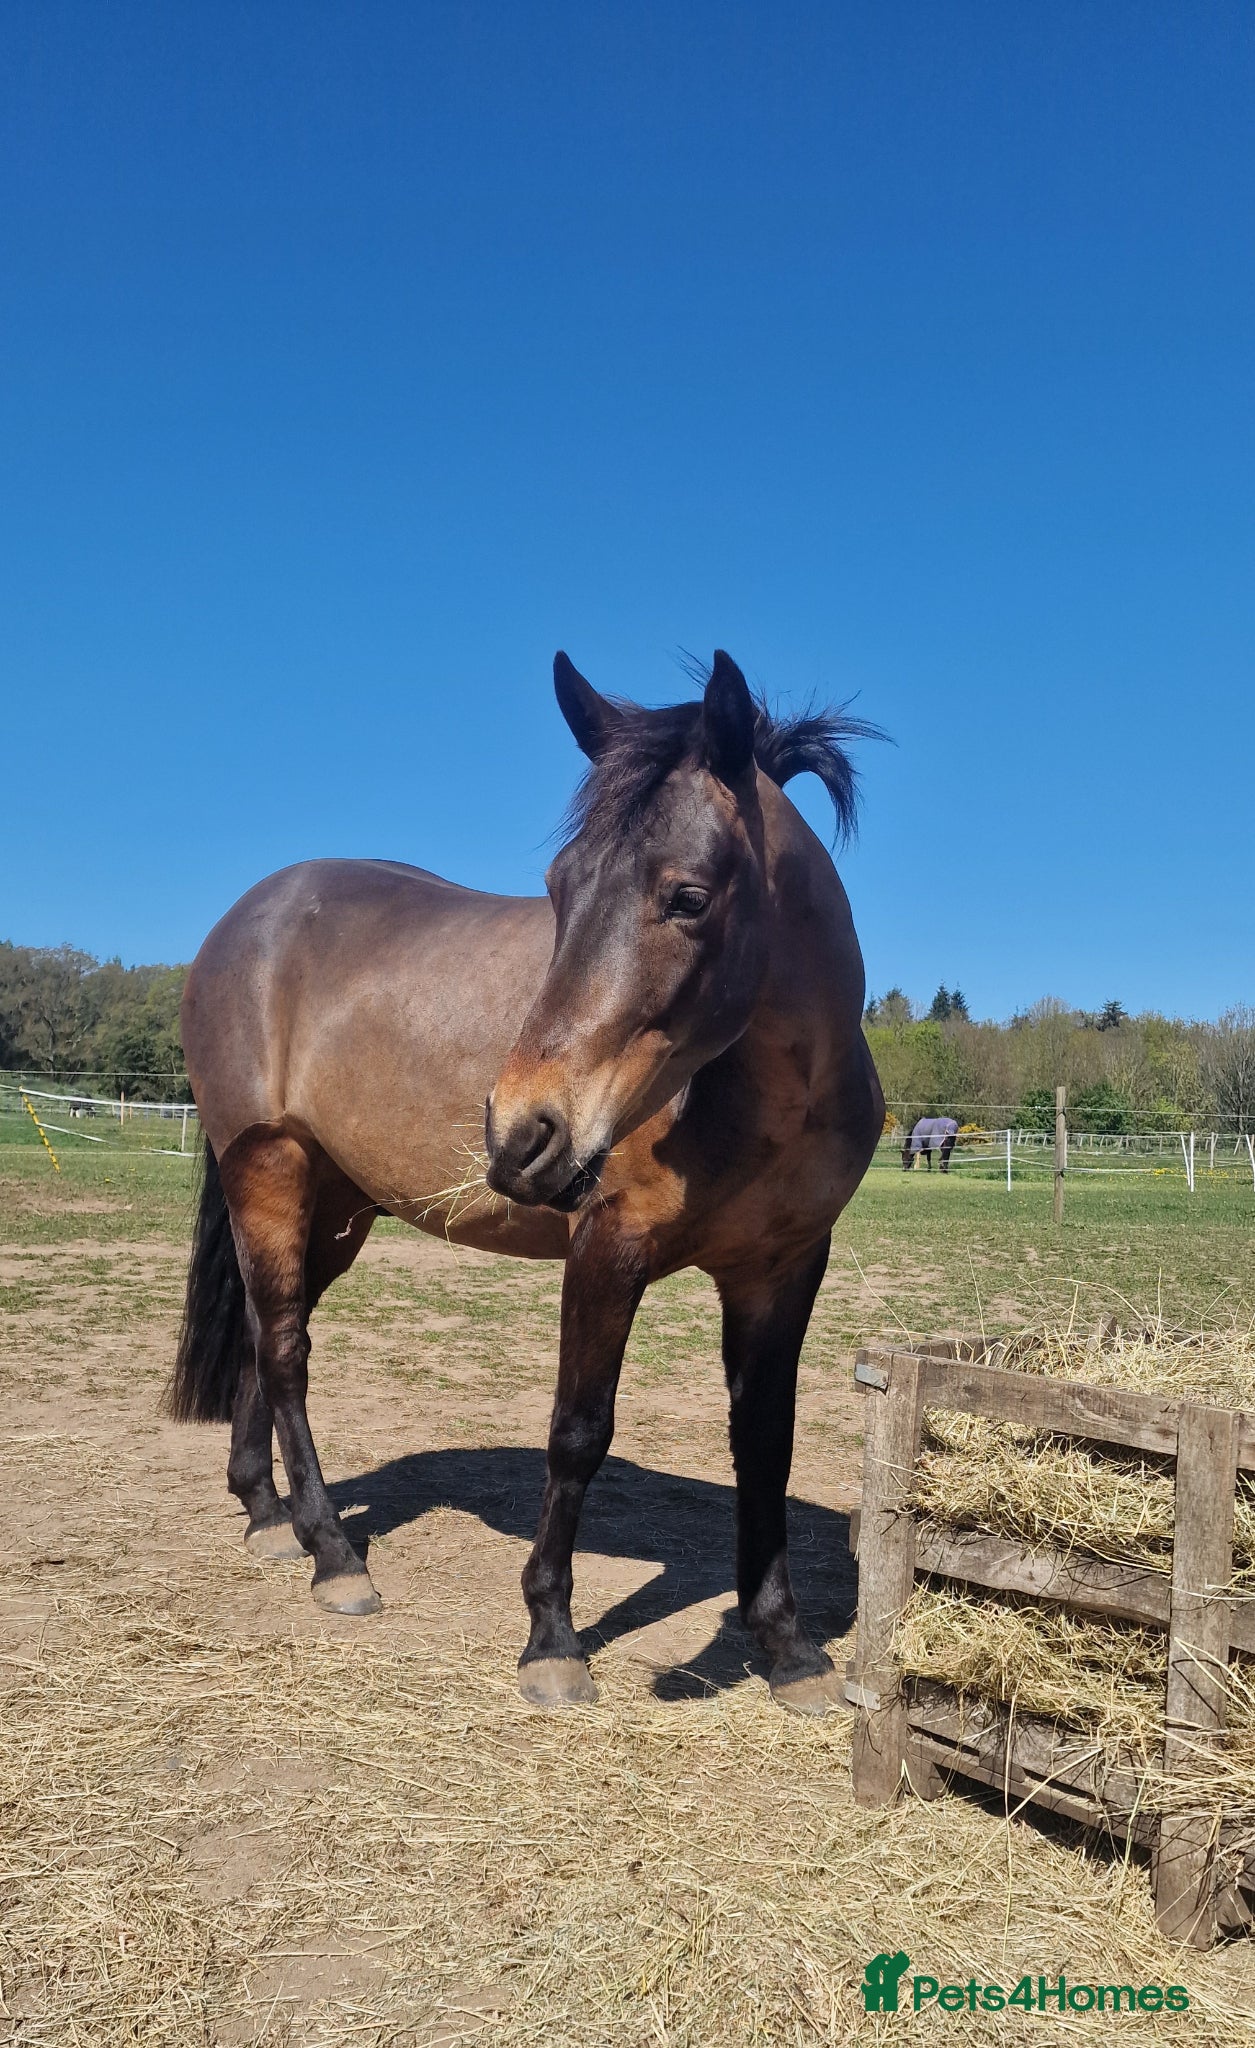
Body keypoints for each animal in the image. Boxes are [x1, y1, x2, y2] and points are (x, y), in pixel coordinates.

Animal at [168, 651, 884, 1713]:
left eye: (687, 896)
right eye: (557, 886)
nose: (518, 1133)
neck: (766, 1096)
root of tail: (248, 918)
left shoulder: (783, 1267)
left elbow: (765, 1440)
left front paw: (786, 1648)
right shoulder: (608, 1248)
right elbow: (577, 1433)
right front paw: (551, 1637)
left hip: (334, 1209)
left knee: (265, 1333)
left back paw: (266, 1515)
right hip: (268, 1167)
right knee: (287, 1349)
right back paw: (334, 1556)